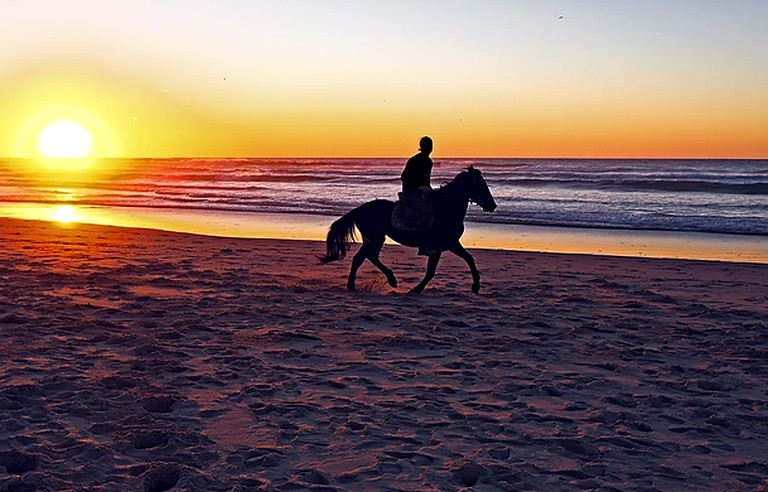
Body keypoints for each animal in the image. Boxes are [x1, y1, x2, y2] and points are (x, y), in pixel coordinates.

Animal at [320, 167, 496, 294]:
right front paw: (416, 289)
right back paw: (389, 280)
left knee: (362, 258)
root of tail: (359, 209)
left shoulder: (449, 244)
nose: (492, 205)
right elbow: (433, 271)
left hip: (372, 238)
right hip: (376, 238)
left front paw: (475, 286)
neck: (446, 209)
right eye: (481, 186)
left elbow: (468, 259)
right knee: (368, 256)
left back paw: (357, 285)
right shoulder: (442, 245)